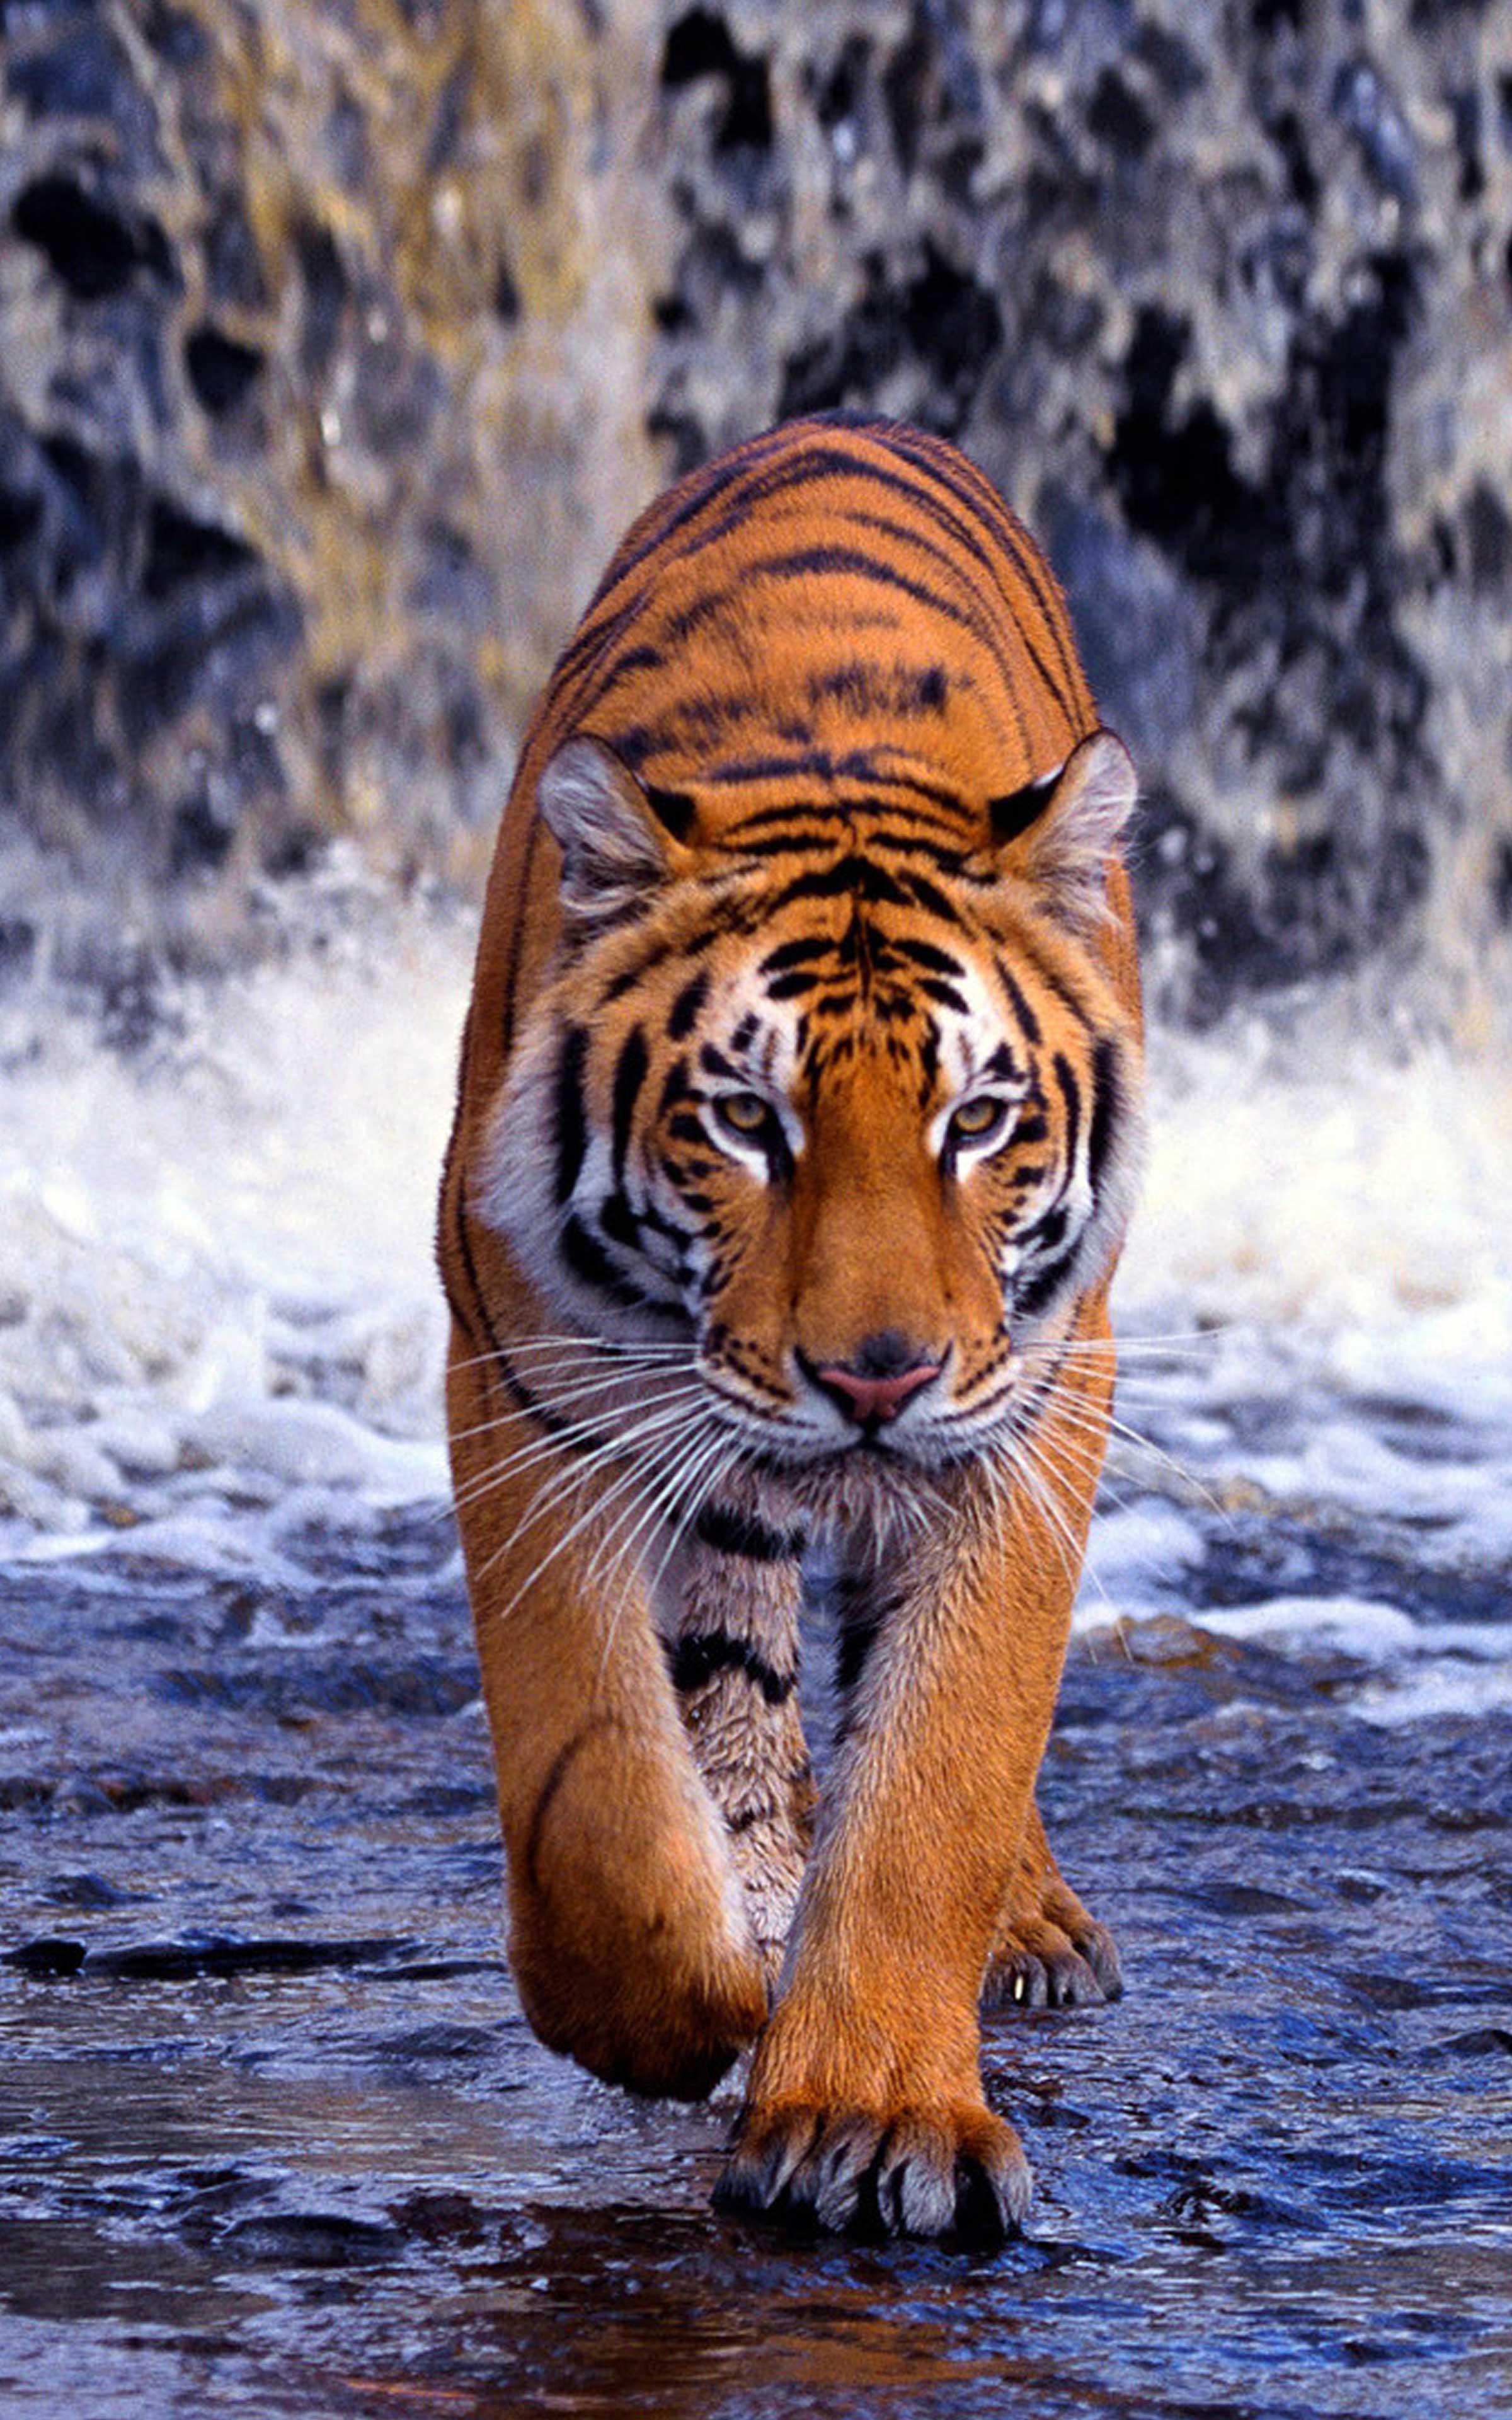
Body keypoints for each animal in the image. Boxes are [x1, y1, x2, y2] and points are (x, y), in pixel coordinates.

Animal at [438, 411, 1144, 2244]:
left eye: (979, 1120)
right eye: (746, 1122)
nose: (873, 1376)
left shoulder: (1032, 1405)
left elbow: (941, 1768)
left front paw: (871, 2113)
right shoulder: (531, 1383)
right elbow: (594, 1788)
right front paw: (685, 2006)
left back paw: (1023, 1926)